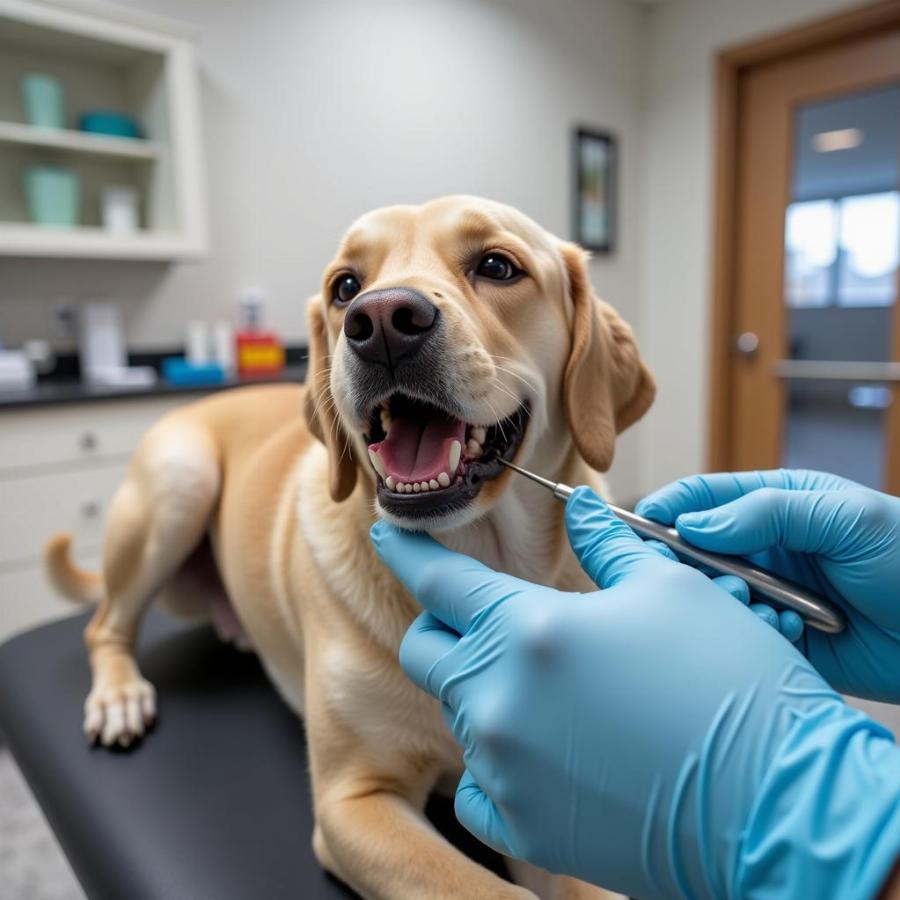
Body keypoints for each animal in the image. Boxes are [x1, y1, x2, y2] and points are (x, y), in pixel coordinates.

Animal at [45, 197, 652, 900]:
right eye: (345, 287)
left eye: (498, 266)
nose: (381, 321)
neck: (480, 562)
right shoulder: (352, 804)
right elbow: (489, 891)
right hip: (179, 478)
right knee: (104, 625)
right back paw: (119, 696)